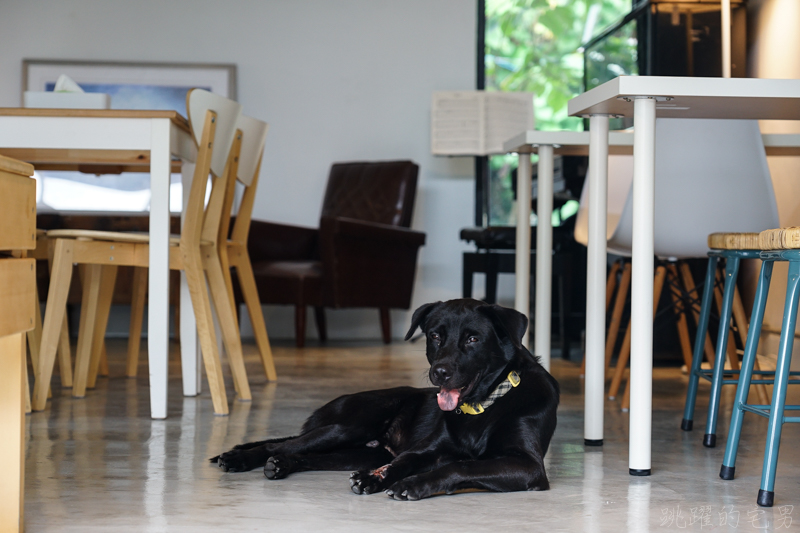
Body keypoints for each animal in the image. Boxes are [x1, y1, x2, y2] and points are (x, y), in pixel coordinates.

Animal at [214, 300, 564, 498]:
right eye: (435, 335)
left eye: (473, 339)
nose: (439, 372)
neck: (482, 408)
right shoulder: (427, 449)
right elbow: (404, 462)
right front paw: (378, 480)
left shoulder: (528, 466)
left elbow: (460, 466)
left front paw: (412, 484)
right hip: (348, 426)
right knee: (281, 444)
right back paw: (239, 458)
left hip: (357, 452)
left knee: (302, 454)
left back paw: (282, 465)